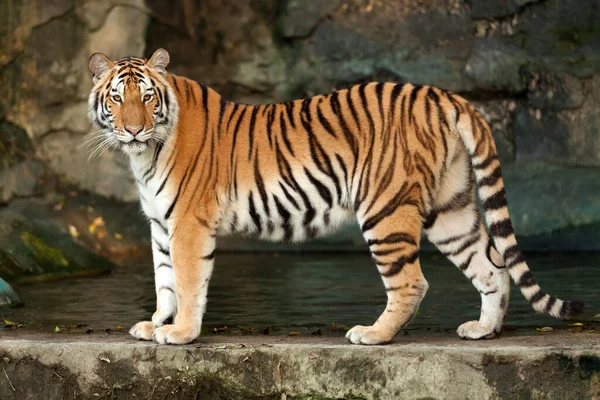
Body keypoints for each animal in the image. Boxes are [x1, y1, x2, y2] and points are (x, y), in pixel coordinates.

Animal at [86, 48, 584, 346]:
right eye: (117, 99)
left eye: (148, 98)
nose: (133, 129)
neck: (144, 154)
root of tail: (445, 96)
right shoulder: (161, 225)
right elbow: (164, 280)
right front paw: (156, 323)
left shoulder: (188, 223)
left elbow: (188, 281)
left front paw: (181, 333)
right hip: (451, 208)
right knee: (492, 265)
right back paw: (484, 329)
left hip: (385, 209)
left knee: (413, 281)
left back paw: (373, 334)